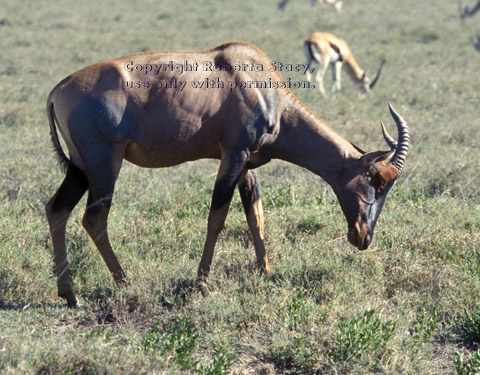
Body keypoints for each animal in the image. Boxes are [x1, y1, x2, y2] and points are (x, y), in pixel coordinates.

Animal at [45, 41, 408, 306]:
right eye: (376, 181)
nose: (363, 238)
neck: (258, 81)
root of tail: (56, 91)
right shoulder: (233, 155)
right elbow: (217, 217)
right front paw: (201, 282)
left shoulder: (247, 163)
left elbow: (255, 215)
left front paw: (265, 272)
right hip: (105, 163)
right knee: (94, 219)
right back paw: (123, 282)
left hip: (80, 167)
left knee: (56, 209)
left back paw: (70, 295)